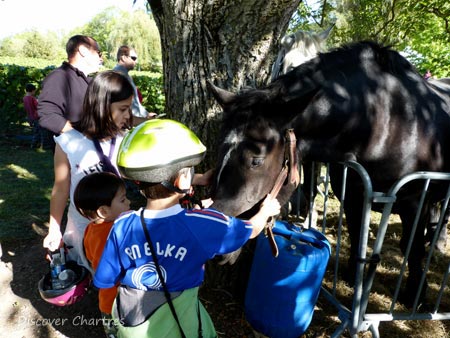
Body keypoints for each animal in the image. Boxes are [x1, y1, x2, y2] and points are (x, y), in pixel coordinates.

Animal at [209, 41, 450, 304]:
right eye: (219, 147)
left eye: (256, 160)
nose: (217, 244)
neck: (383, 120)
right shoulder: (354, 194)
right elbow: (357, 235)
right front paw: (353, 277)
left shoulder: (415, 199)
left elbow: (412, 247)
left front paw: (415, 294)